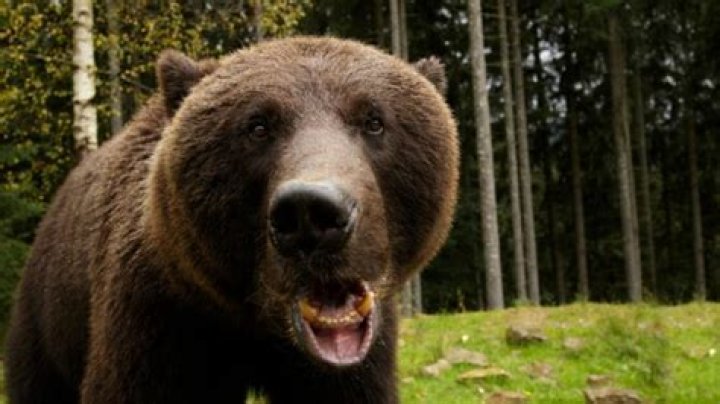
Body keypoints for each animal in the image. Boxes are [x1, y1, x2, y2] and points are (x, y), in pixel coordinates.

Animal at [5, 37, 459, 403]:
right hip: (46, 319)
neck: (257, 326)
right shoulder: (157, 324)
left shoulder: (356, 364)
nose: (311, 214)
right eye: (257, 125)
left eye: (374, 120)